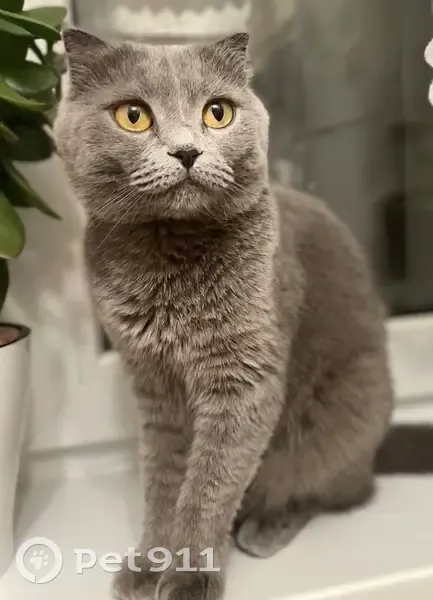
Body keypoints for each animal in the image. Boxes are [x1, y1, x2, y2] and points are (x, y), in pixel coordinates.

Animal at [55, 29, 433, 600]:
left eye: (217, 113)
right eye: (133, 116)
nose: (187, 150)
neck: (169, 257)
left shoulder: (243, 380)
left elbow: (209, 485)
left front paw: (188, 577)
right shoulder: (152, 382)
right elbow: (164, 480)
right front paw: (149, 563)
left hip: (344, 410)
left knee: (336, 489)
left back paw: (266, 526)